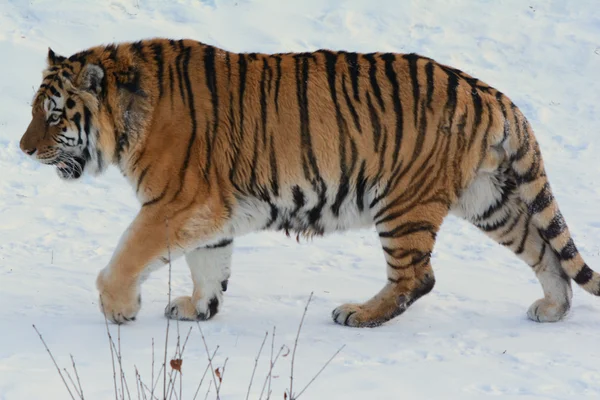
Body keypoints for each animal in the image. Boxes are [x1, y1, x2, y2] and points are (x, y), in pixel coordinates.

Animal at [19, 36, 600, 328]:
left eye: (53, 115)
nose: (23, 149)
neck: (128, 119)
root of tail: (490, 93)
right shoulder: (209, 211)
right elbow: (209, 264)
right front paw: (199, 309)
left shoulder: (176, 202)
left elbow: (128, 254)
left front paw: (118, 309)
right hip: (488, 199)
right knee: (545, 253)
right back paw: (552, 309)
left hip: (402, 203)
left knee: (417, 278)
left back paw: (358, 314)